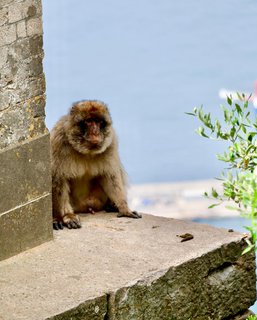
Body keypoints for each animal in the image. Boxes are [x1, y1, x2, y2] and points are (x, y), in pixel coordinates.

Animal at [50, 100, 141, 230]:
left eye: (98, 122)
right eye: (89, 121)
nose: (95, 131)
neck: (86, 151)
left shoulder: (111, 141)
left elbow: (110, 175)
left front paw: (124, 209)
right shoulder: (58, 141)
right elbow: (58, 178)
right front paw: (67, 216)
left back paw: (111, 205)